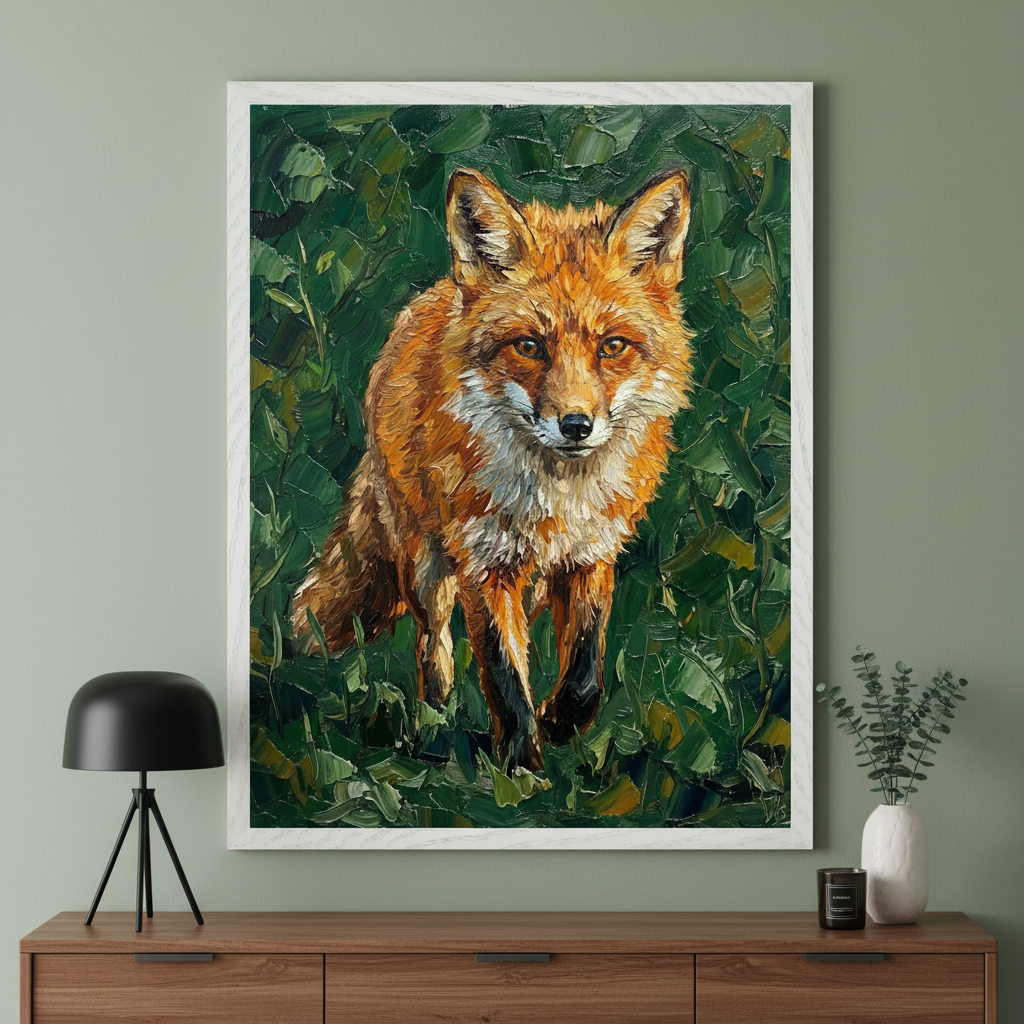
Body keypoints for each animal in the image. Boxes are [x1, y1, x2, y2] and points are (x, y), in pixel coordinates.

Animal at [291, 166, 693, 773]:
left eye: (612, 346)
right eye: (529, 346)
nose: (576, 425)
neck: (558, 498)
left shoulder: (593, 554)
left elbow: (586, 667)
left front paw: (559, 723)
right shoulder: (485, 562)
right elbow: (504, 675)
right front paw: (522, 770)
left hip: (530, 579)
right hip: (426, 564)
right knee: (432, 643)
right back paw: (432, 726)